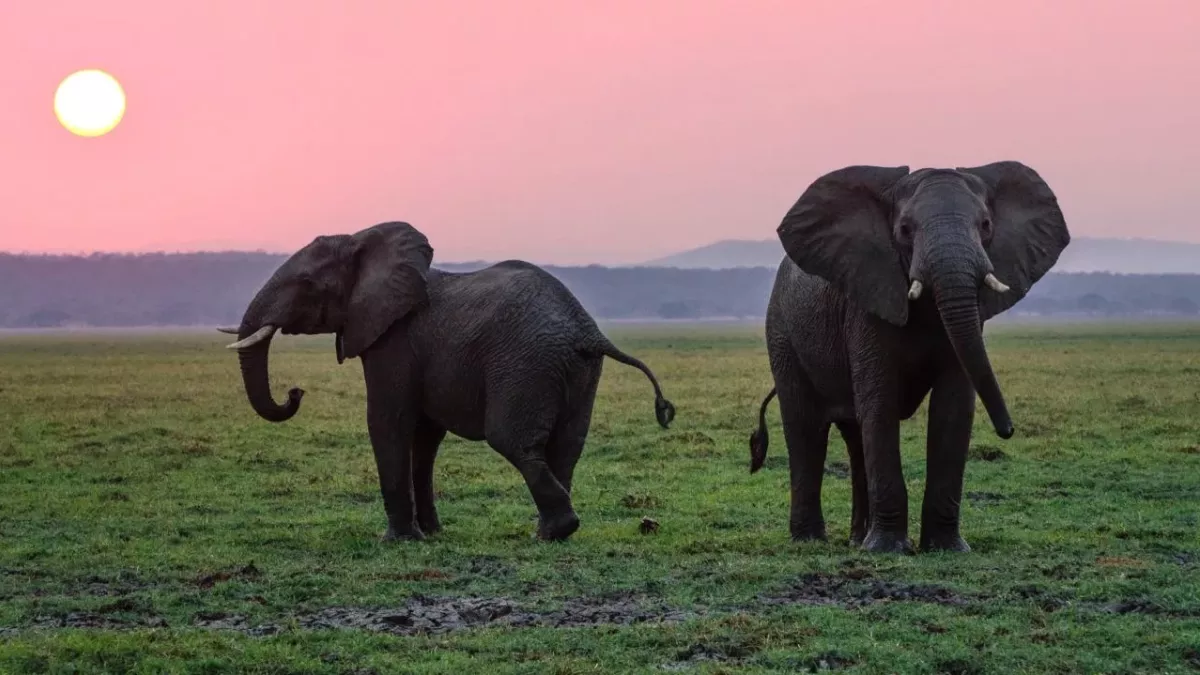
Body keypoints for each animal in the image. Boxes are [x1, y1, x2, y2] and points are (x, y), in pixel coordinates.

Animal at [220, 221, 675, 542]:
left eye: (307, 284)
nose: (295, 392)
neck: (363, 240)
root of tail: (586, 329)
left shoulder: (394, 339)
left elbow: (388, 421)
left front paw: (398, 540)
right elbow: (425, 437)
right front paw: (432, 534)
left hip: (526, 363)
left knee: (513, 440)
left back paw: (554, 531)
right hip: (577, 370)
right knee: (566, 447)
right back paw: (550, 533)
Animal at [747, 161, 1069, 554]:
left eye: (986, 225)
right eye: (904, 230)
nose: (1008, 430)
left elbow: (953, 407)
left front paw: (947, 549)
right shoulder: (868, 301)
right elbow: (880, 403)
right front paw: (887, 550)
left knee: (854, 436)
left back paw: (857, 540)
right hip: (782, 333)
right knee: (806, 428)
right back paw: (811, 541)